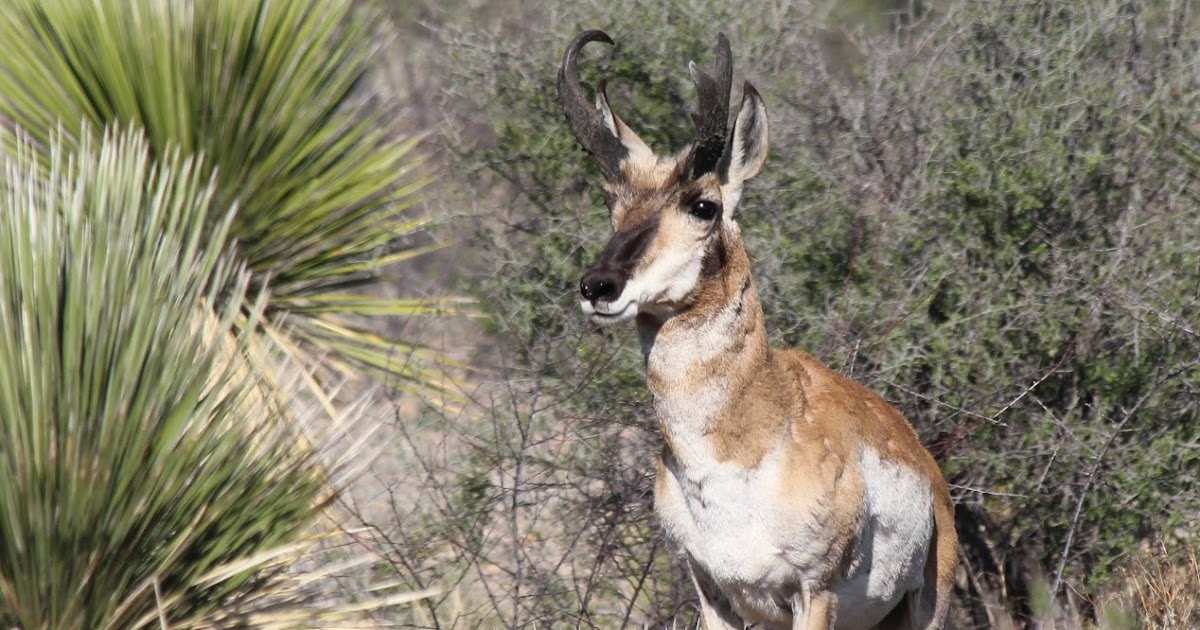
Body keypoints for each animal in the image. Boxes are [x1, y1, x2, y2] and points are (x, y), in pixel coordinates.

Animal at [557, 31, 959, 629]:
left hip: (926, 606)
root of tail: (921, 456)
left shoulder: (814, 592)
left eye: (703, 204)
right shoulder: (713, 592)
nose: (597, 286)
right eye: (612, 201)